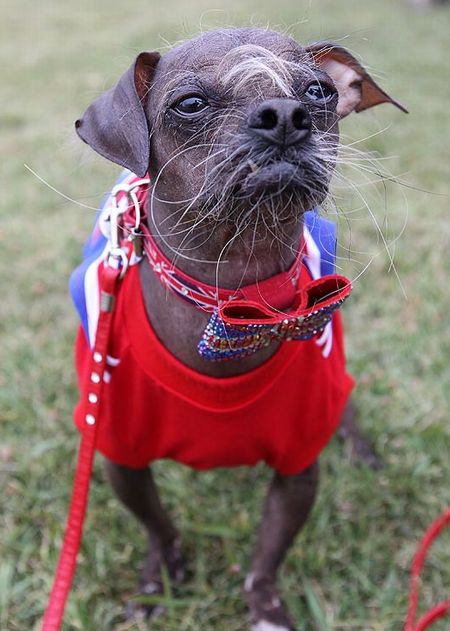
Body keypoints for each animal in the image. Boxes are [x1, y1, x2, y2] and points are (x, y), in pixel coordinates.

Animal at [71, 28, 405, 630]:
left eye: (319, 91)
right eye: (190, 103)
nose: (285, 115)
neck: (234, 302)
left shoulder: (298, 467)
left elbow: (267, 556)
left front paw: (265, 608)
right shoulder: (118, 455)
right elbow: (157, 525)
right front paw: (160, 579)